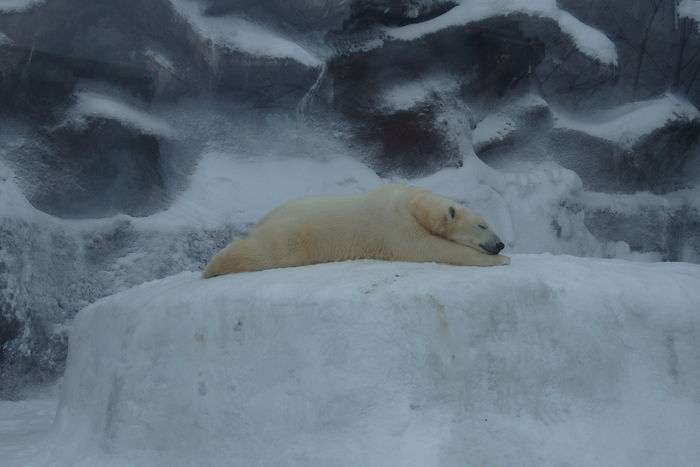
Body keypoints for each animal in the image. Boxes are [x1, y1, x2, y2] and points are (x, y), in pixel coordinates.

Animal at [202, 183, 508, 278]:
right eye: (482, 225)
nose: (500, 244)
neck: (411, 203)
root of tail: (267, 216)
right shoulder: (392, 226)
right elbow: (428, 248)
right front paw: (502, 260)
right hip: (295, 234)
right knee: (261, 251)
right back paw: (213, 266)